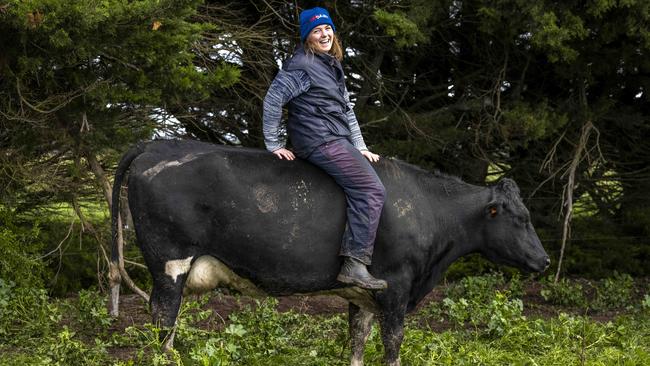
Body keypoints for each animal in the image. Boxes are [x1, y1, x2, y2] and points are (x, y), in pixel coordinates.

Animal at [110, 139, 548, 364]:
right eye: (521, 218)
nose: (544, 260)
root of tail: (157, 145)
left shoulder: (363, 294)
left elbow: (357, 340)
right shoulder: (396, 286)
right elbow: (393, 344)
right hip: (170, 260)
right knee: (163, 318)